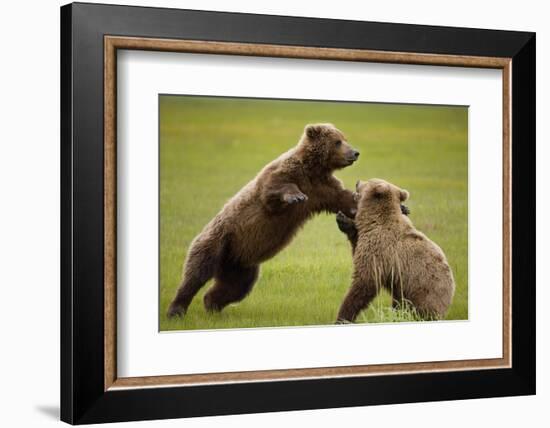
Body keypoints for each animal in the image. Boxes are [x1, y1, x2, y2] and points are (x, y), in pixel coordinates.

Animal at [168, 123, 362, 318]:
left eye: (344, 138)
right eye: (337, 142)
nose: (355, 152)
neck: (313, 169)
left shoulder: (322, 188)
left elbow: (343, 198)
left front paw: (356, 203)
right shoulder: (286, 175)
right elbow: (273, 190)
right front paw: (296, 196)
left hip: (239, 264)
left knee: (235, 286)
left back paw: (212, 306)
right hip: (218, 240)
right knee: (197, 272)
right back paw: (177, 309)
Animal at [336, 177, 458, 320]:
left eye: (370, 180)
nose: (357, 181)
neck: (374, 220)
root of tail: (452, 291)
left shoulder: (380, 249)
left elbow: (365, 281)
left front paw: (343, 316)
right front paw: (344, 221)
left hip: (424, 291)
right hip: (403, 291)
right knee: (399, 305)